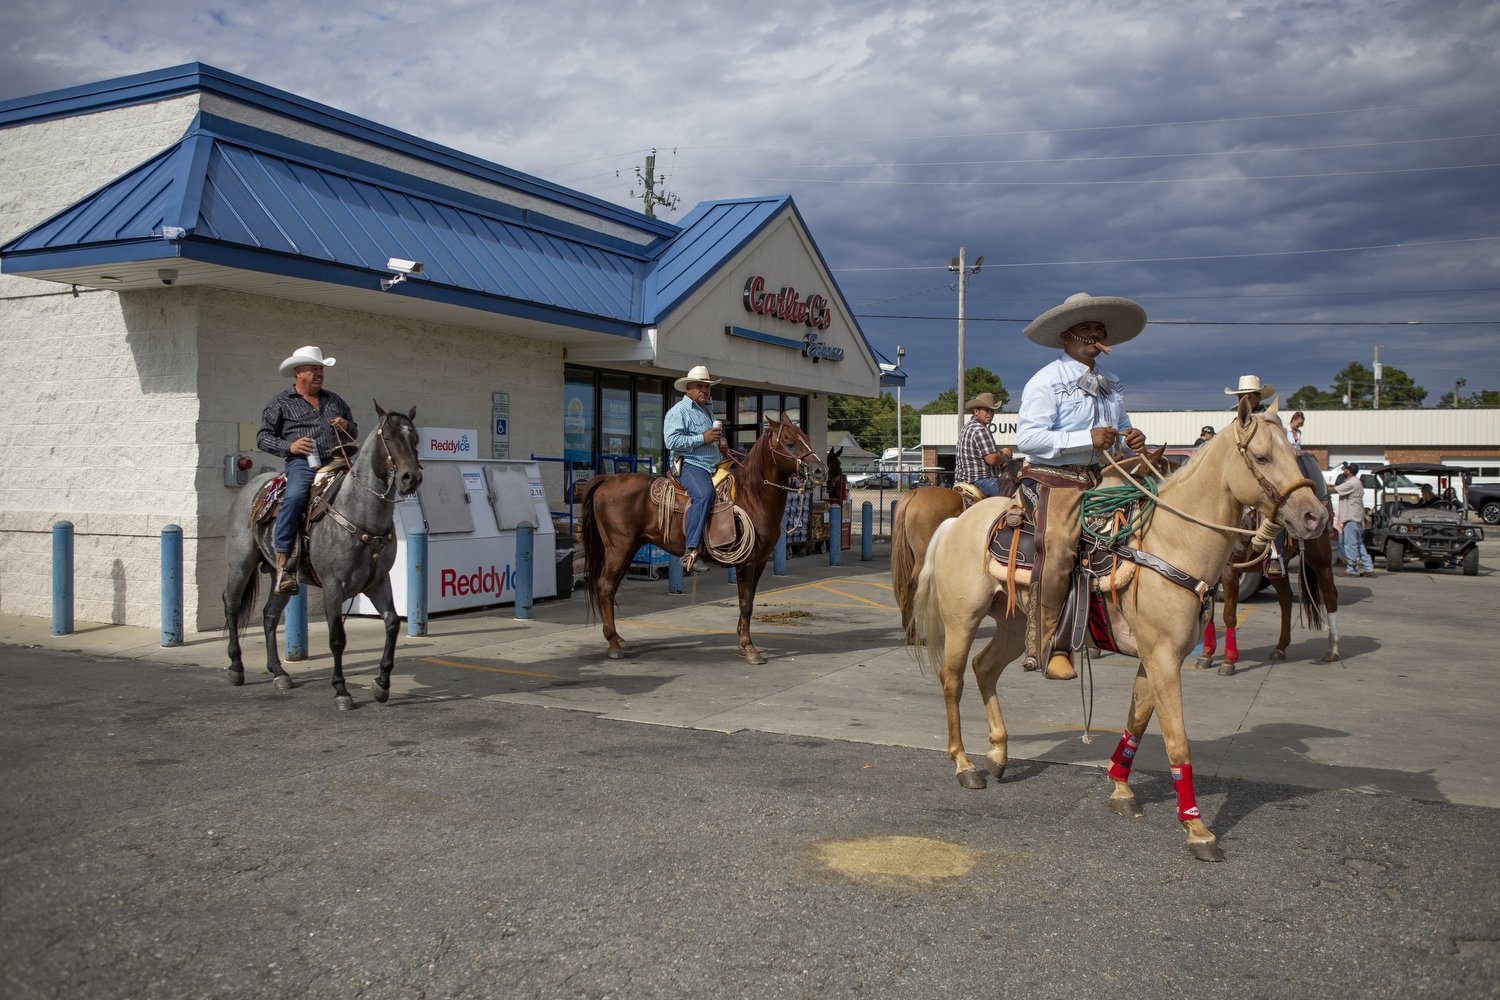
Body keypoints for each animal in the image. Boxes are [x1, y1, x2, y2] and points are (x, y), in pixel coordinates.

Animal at [223, 401, 423, 710]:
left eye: (415, 439)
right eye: (388, 438)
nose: (410, 477)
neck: (359, 512)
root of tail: (255, 485)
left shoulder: (378, 582)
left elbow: (391, 624)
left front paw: (381, 684)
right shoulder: (333, 586)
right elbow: (337, 638)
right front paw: (341, 691)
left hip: (282, 577)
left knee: (269, 615)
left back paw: (278, 673)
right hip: (240, 564)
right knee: (232, 605)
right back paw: (236, 668)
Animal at [579, 413, 828, 665]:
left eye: (806, 438)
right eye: (790, 443)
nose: (820, 471)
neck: (753, 496)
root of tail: (606, 480)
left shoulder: (758, 562)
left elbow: (748, 601)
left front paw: (742, 642)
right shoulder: (746, 563)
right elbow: (746, 604)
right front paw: (749, 648)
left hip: (628, 549)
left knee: (610, 588)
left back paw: (619, 639)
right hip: (618, 548)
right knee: (605, 586)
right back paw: (613, 644)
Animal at [900, 401, 1326, 863]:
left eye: (1294, 454)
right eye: (1262, 457)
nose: (1315, 516)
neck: (1171, 543)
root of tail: (958, 522)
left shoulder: (1160, 656)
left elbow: (1137, 719)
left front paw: (1121, 786)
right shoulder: (1162, 657)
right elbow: (1177, 740)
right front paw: (1197, 828)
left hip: (1016, 624)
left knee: (985, 668)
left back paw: (997, 753)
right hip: (963, 619)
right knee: (953, 680)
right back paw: (964, 765)